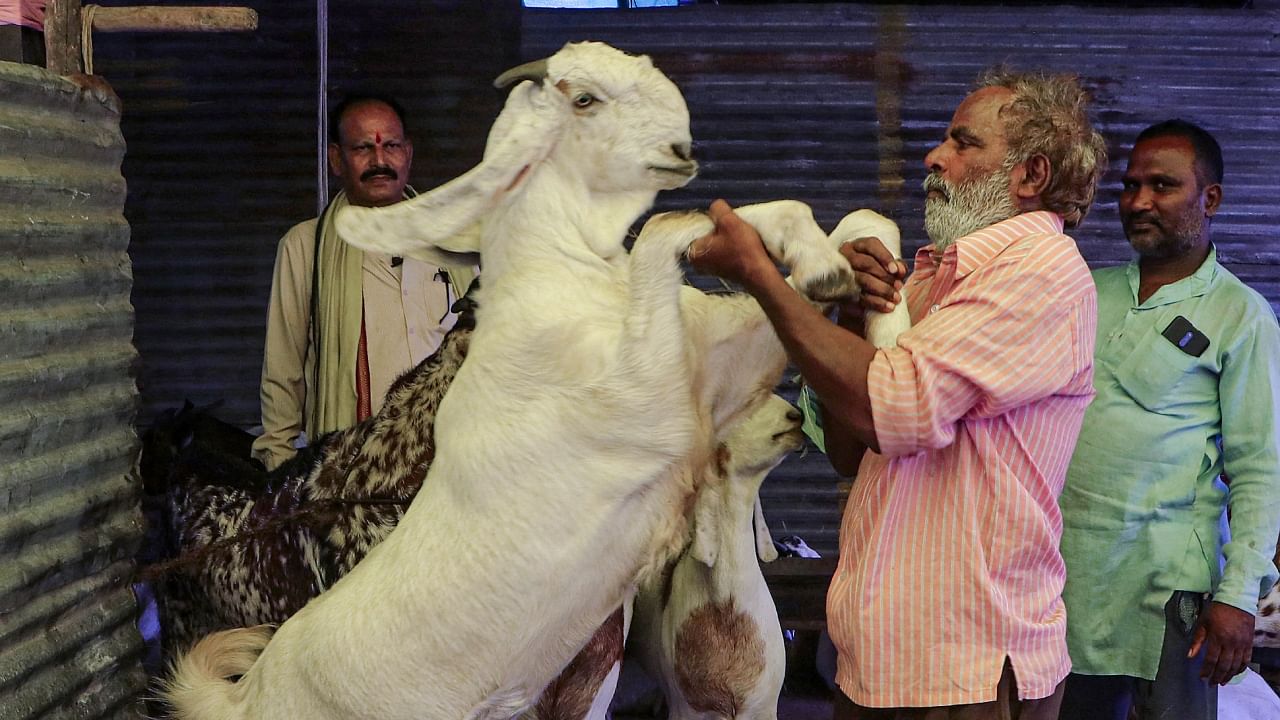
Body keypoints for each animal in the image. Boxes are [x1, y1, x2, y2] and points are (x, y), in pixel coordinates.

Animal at [165, 40, 906, 717]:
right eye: (583, 99)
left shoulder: (713, 372)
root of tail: (246, 696)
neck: (561, 281)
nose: (681, 148)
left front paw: (838, 267)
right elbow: (670, 224)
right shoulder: (646, 406)